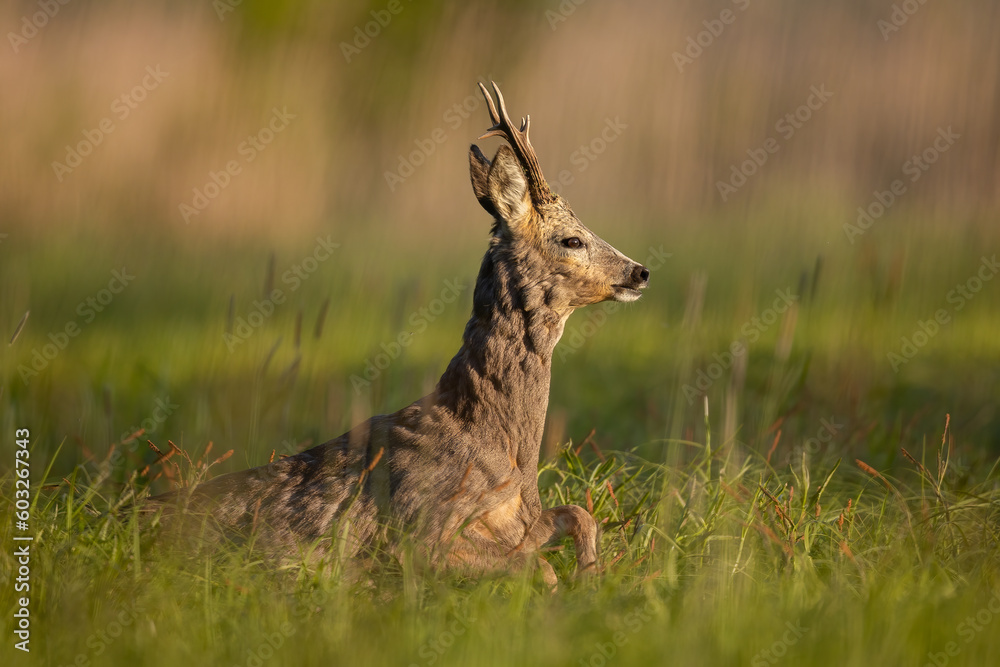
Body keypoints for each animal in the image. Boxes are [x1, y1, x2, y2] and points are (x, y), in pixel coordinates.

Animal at [151, 85, 644, 584]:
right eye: (572, 240)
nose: (640, 271)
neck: (498, 445)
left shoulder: (520, 520)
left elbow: (580, 517)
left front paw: (591, 574)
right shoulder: (419, 532)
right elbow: (539, 568)